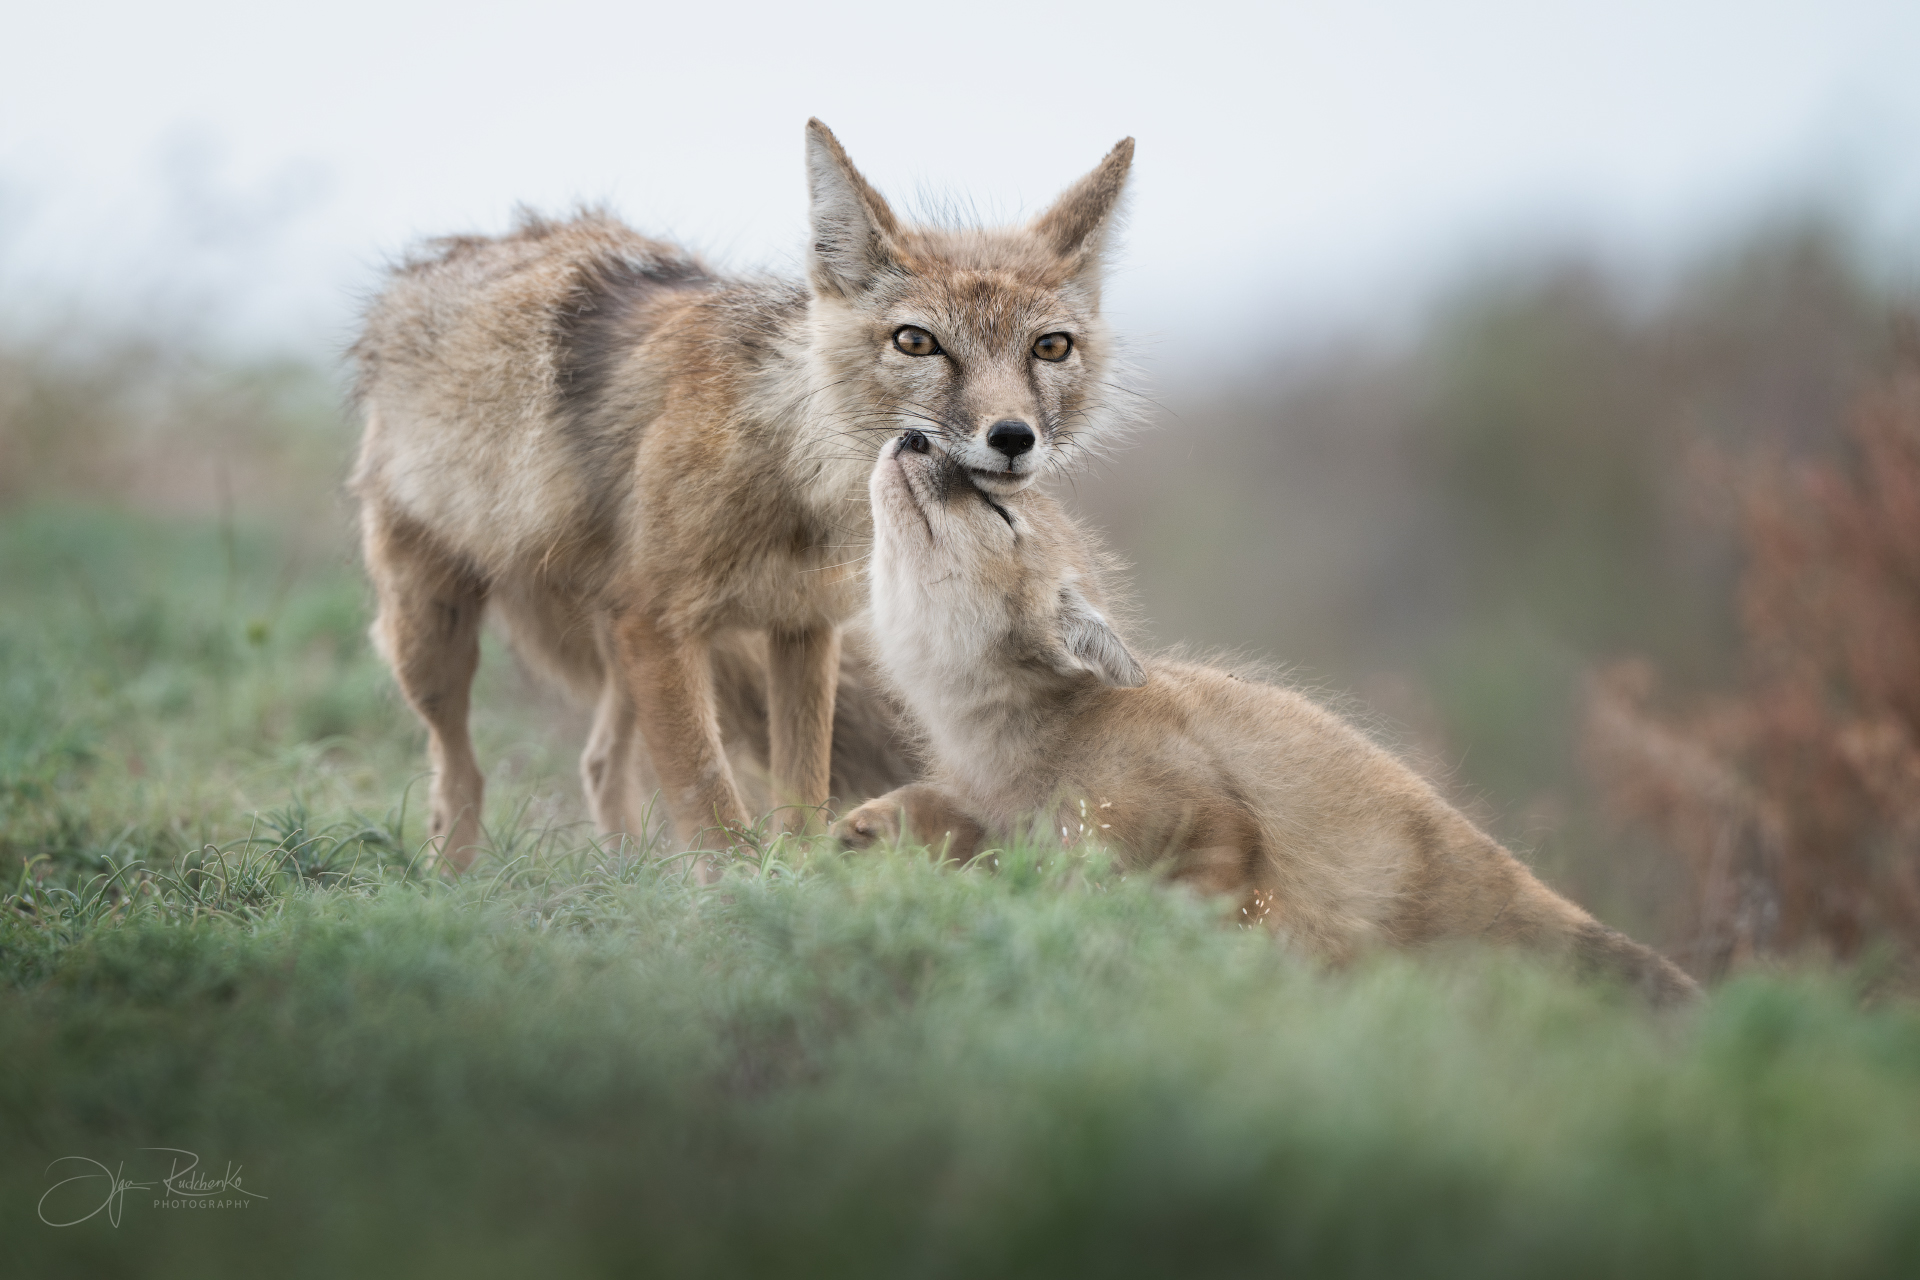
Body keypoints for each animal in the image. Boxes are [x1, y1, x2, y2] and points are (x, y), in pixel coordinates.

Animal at [348, 121, 1136, 869]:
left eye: (1050, 348)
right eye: (917, 342)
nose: (1013, 436)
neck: (788, 477)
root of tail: (440, 259)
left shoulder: (800, 624)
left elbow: (801, 797)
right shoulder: (660, 626)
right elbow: (711, 803)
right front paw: (734, 895)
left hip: (617, 641)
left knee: (599, 763)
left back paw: (627, 876)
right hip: (435, 640)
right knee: (461, 776)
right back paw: (449, 881)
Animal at [831, 429, 1702, 1006]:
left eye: (998, 510)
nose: (912, 433)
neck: (1015, 749)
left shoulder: (1208, 821)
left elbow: (1177, 897)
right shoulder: (990, 812)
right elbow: (930, 813)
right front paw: (861, 829)